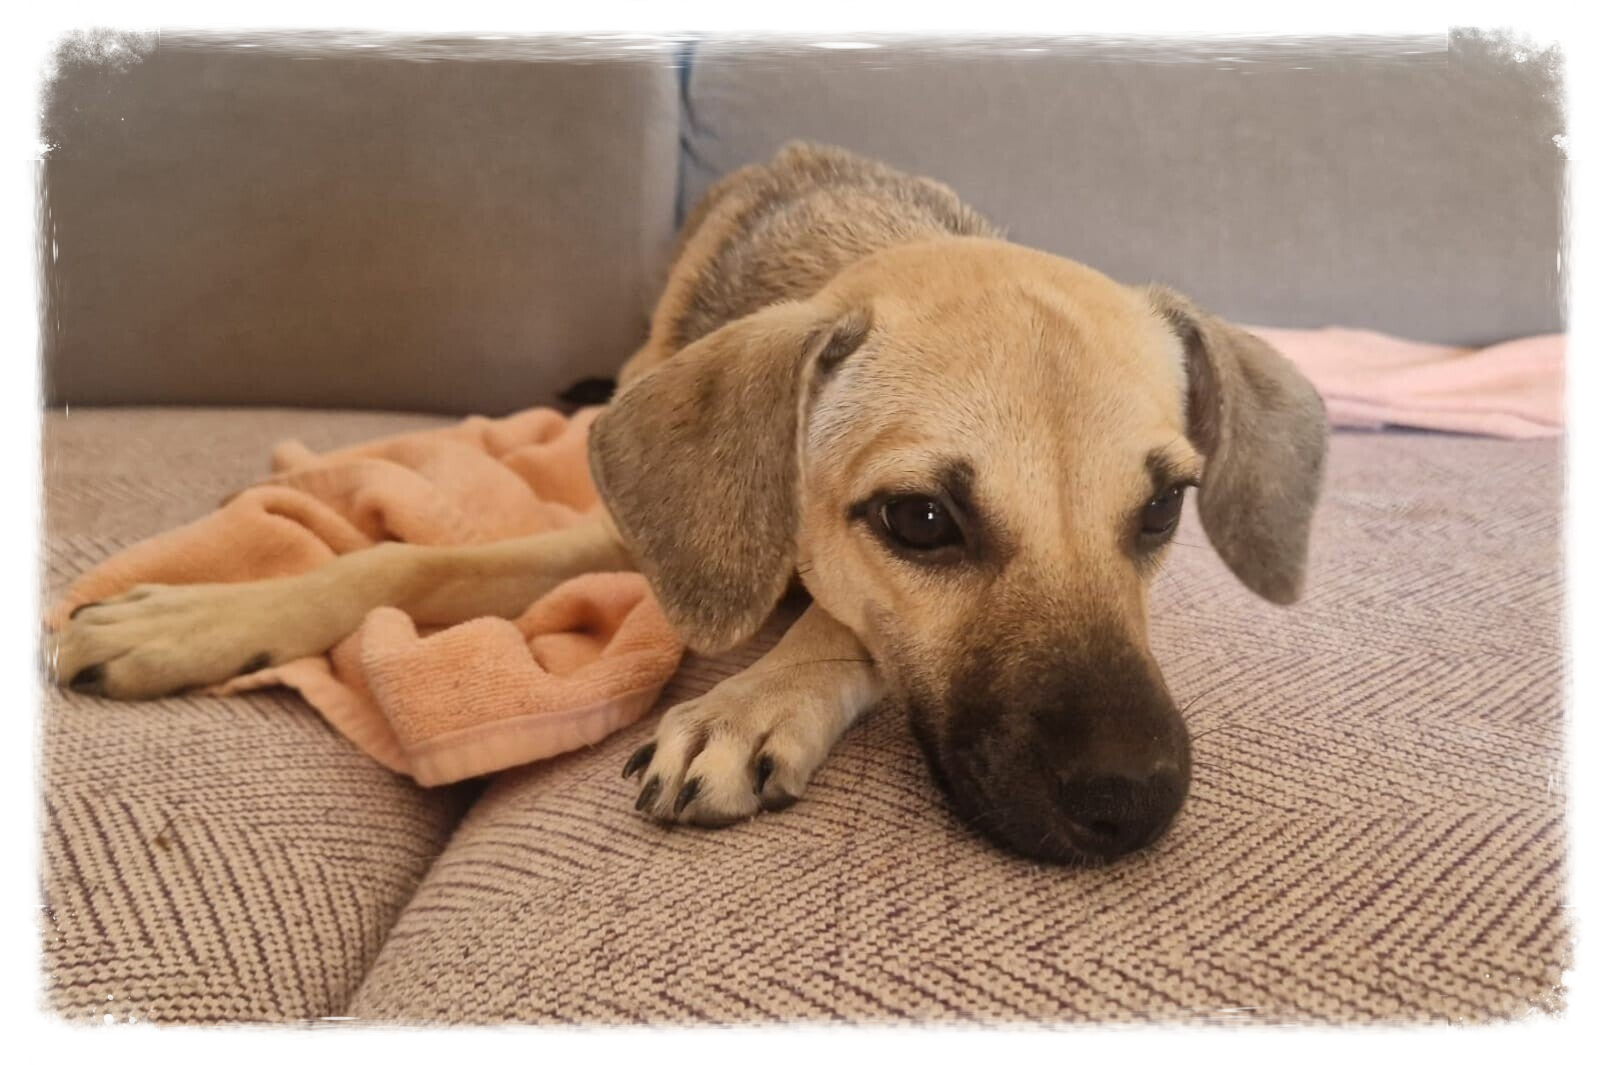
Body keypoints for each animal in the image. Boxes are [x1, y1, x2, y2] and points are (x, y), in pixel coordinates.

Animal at [52, 143, 1327, 865]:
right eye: (919, 520)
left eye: (1162, 512)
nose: (1134, 805)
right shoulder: (614, 534)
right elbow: (406, 564)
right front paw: (194, 619)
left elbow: (833, 621)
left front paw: (752, 702)